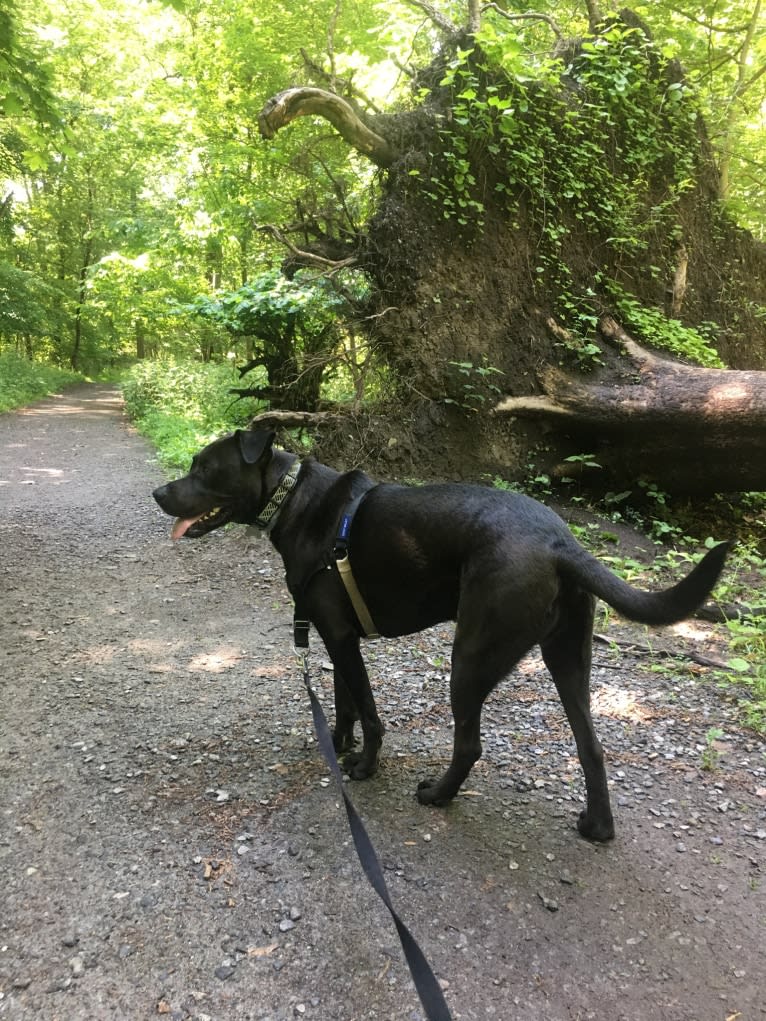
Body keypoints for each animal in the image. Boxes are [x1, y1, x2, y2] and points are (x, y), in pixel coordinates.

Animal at [151, 426, 731, 841]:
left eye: (204, 468)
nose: (158, 492)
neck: (292, 500)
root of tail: (560, 542)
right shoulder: (337, 637)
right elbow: (342, 703)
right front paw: (336, 746)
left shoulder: (340, 638)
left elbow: (367, 711)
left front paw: (363, 766)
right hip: (568, 660)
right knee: (591, 747)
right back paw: (598, 827)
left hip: (470, 658)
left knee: (470, 743)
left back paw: (438, 795)